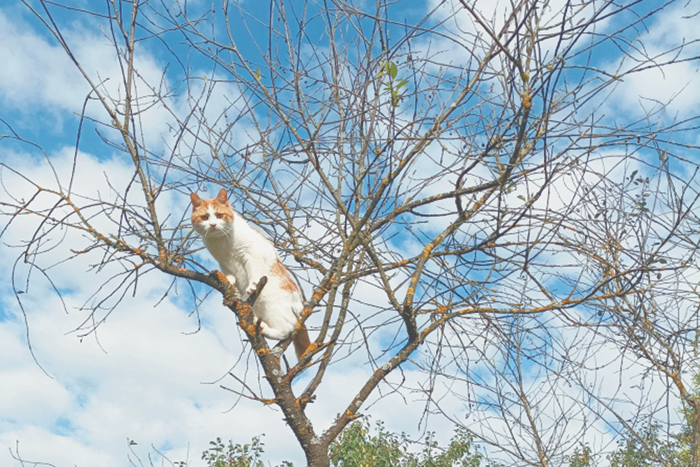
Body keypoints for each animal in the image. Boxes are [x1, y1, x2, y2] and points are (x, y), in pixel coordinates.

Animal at [191, 188, 312, 360]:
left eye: (219, 215)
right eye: (205, 217)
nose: (213, 224)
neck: (221, 243)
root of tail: (300, 303)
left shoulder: (252, 253)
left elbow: (253, 272)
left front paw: (251, 286)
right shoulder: (224, 264)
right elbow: (229, 275)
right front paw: (227, 281)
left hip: (274, 307)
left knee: (288, 329)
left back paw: (265, 329)